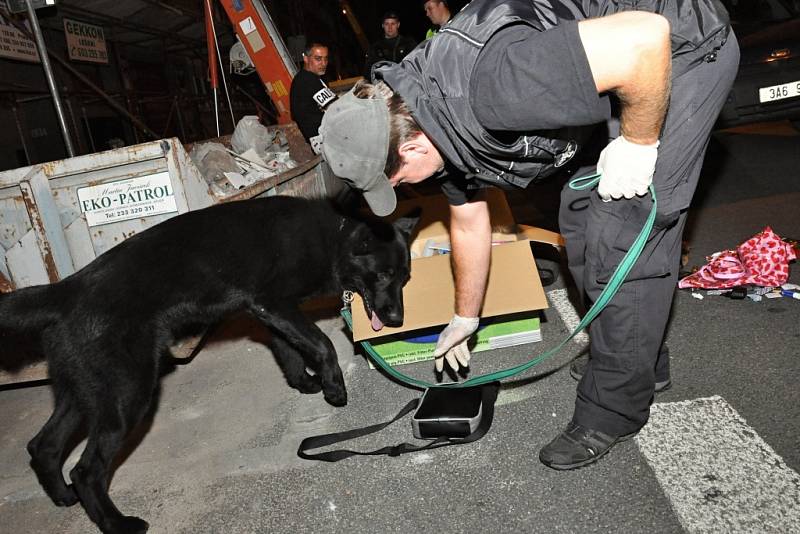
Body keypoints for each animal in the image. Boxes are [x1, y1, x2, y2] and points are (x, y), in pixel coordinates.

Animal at [0, 198, 422, 534]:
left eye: (405, 278)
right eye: (382, 275)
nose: (398, 319)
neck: (333, 236)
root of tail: (66, 290)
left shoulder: (268, 312)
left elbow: (288, 350)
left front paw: (304, 383)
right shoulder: (274, 303)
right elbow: (321, 343)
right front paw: (334, 386)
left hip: (84, 395)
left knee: (43, 447)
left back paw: (64, 498)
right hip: (126, 396)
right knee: (86, 471)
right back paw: (118, 524)